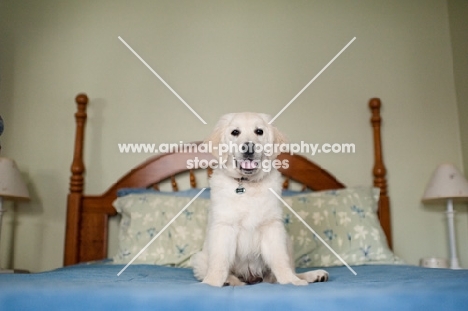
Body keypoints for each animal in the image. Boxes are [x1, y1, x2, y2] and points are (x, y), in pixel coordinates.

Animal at [190, 112, 330, 288]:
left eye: (259, 131)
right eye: (235, 132)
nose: (248, 147)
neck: (247, 185)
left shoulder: (272, 226)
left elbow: (279, 260)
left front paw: (291, 281)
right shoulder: (224, 227)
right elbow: (219, 262)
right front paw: (211, 284)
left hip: (287, 242)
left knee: (280, 273)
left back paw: (312, 275)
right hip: (199, 258)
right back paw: (230, 281)